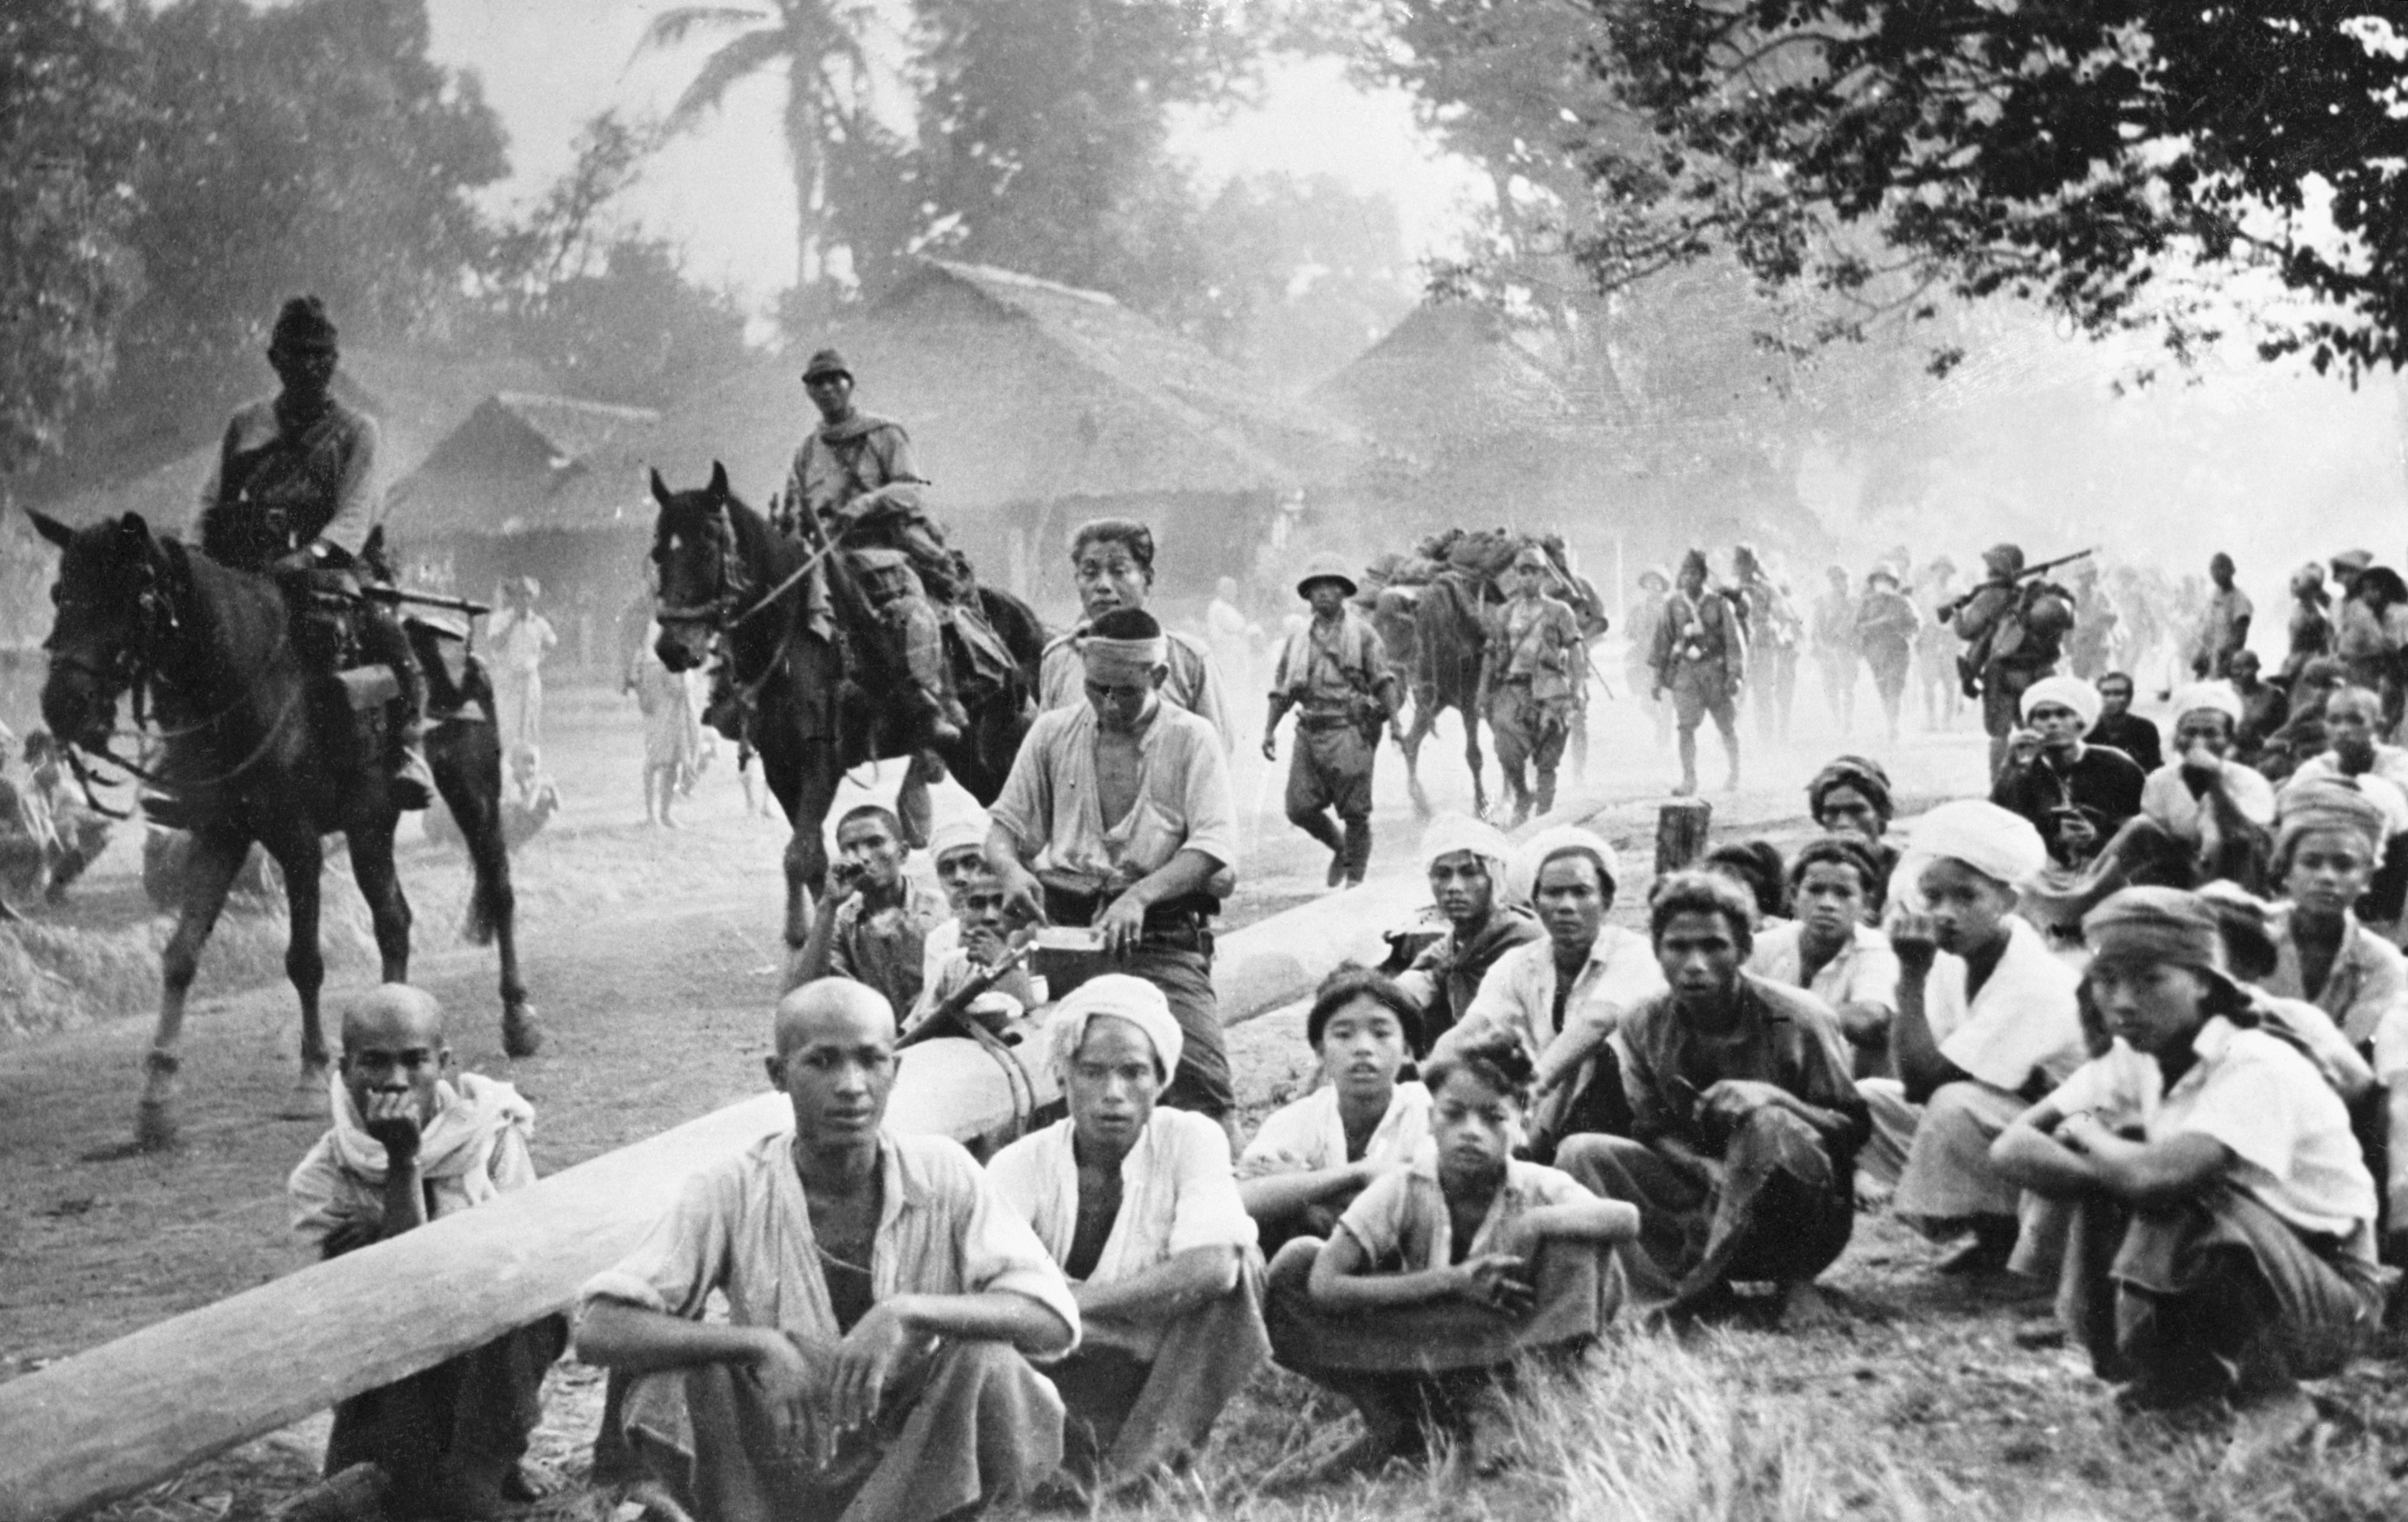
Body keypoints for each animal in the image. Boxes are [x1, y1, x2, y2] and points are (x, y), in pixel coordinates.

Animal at [29, 506, 527, 1146]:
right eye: (60, 591)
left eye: (133, 592)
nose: (63, 704)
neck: (247, 681)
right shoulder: (220, 834)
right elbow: (181, 955)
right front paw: (156, 1099)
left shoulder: (298, 842)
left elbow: (304, 960)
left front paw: (310, 1078)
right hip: (371, 824)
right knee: (394, 920)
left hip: (473, 789)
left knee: (498, 888)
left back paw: (519, 1019)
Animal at [650, 465, 1045, 963]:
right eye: (658, 553)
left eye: (706, 546)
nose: (673, 648)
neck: (792, 635)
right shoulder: (781, 766)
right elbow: (812, 859)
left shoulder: (823, 761)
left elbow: (799, 855)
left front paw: (799, 934)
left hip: (998, 748)